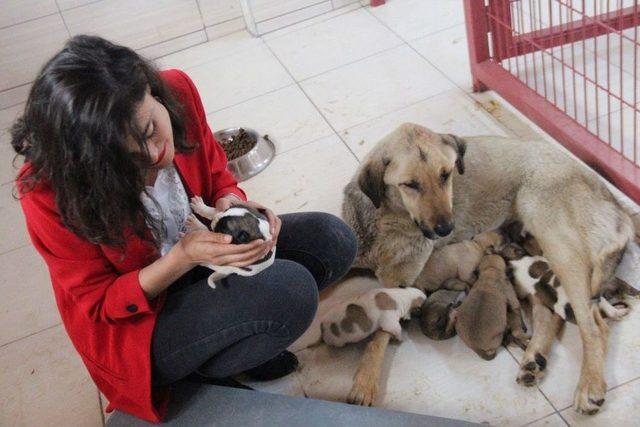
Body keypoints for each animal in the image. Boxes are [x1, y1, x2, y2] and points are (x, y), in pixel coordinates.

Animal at [342, 123, 636, 414]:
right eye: (410, 185)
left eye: (446, 175)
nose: (445, 228)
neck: (387, 217)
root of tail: (618, 207)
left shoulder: (400, 282)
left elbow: (378, 336)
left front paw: (364, 382)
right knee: (548, 314)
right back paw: (535, 359)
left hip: (559, 247)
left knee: (594, 326)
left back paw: (590, 386)